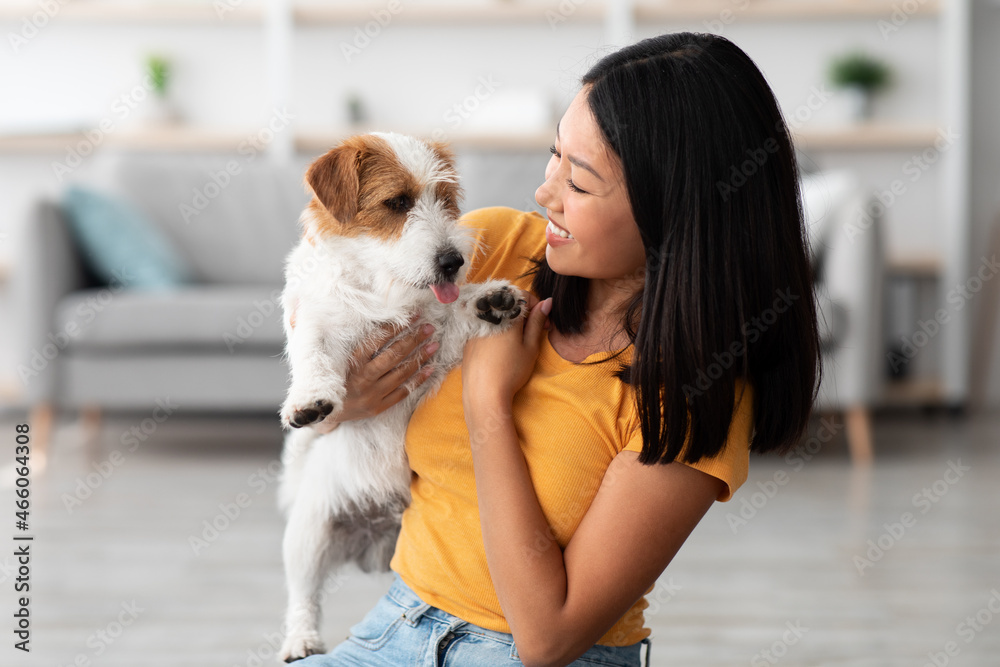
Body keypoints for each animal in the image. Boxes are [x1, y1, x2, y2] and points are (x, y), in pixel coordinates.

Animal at [270, 132, 528, 664]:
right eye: (397, 203)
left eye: (445, 200)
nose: (453, 262)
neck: (381, 288)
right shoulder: (318, 319)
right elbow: (313, 352)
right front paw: (310, 399)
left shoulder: (431, 341)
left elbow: (454, 318)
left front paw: (488, 301)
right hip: (308, 535)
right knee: (304, 595)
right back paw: (300, 640)